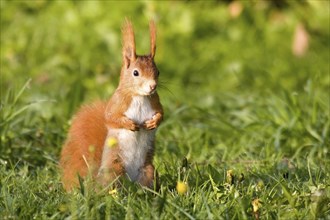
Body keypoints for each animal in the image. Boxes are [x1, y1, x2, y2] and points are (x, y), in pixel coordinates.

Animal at [60, 19, 163, 191]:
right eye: (135, 73)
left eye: (158, 72)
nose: (152, 86)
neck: (140, 96)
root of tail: (131, 180)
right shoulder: (117, 101)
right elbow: (110, 117)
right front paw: (129, 124)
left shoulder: (155, 101)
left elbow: (162, 114)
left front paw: (154, 122)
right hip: (114, 169)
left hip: (149, 171)